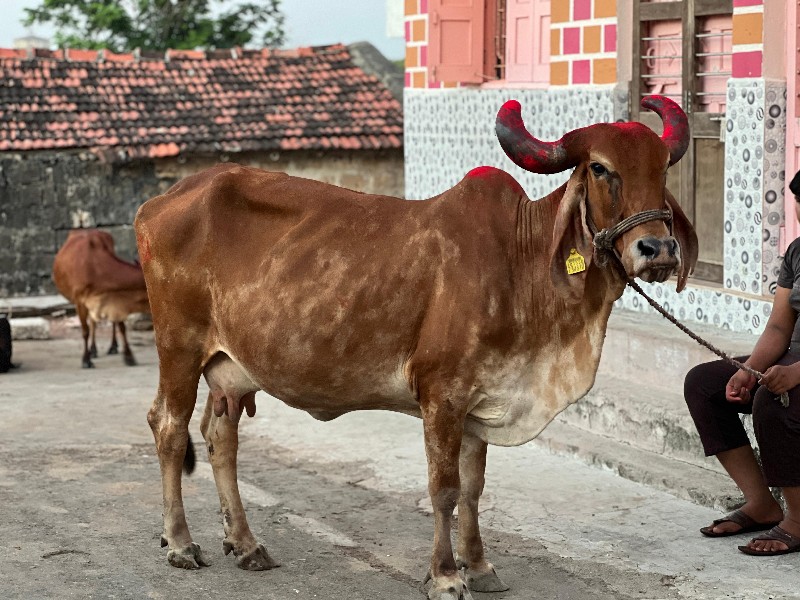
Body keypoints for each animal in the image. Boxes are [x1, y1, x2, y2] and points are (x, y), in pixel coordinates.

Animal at [53, 230, 150, 370]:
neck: (96, 269)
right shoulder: (80, 301)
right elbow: (85, 331)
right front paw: (86, 360)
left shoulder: (115, 300)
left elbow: (121, 327)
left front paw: (129, 356)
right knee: (93, 323)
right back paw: (93, 350)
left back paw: (112, 346)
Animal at [136, 96, 692, 596]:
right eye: (600, 168)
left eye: (663, 168)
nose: (658, 249)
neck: (522, 264)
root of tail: (160, 201)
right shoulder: (442, 395)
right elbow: (444, 490)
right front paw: (446, 576)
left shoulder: (480, 401)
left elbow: (473, 487)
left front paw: (480, 566)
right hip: (179, 348)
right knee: (168, 427)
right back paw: (180, 542)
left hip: (229, 368)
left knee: (220, 437)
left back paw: (246, 544)